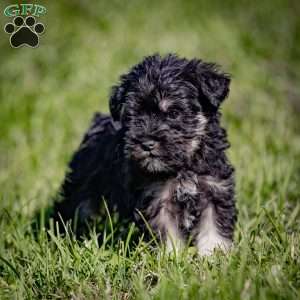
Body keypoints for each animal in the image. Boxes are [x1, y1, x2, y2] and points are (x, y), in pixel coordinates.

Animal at [54, 54, 237, 255]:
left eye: (174, 113)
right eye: (134, 115)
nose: (147, 143)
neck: (183, 166)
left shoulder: (216, 191)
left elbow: (213, 229)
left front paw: (214, 255)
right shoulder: (158, 200)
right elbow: (168, 234)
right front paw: (172, 258)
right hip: (84, 186)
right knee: (74, 208)